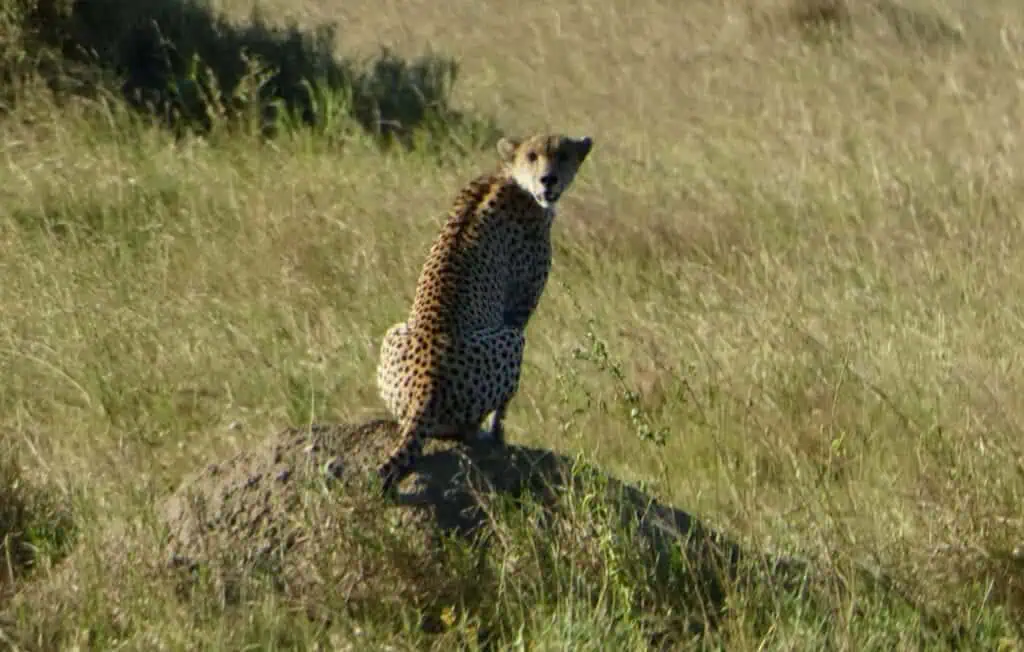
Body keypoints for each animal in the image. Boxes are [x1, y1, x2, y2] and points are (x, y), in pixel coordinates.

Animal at [375, 132, 594, 495]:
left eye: (562, 155)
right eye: (533, 156)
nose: (548, 179)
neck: (511, 177)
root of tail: (424, 391)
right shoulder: (517, 313)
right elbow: (501, 411)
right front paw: (497, 434)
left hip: (394, 331)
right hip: (512, 340)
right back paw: (479, 432)